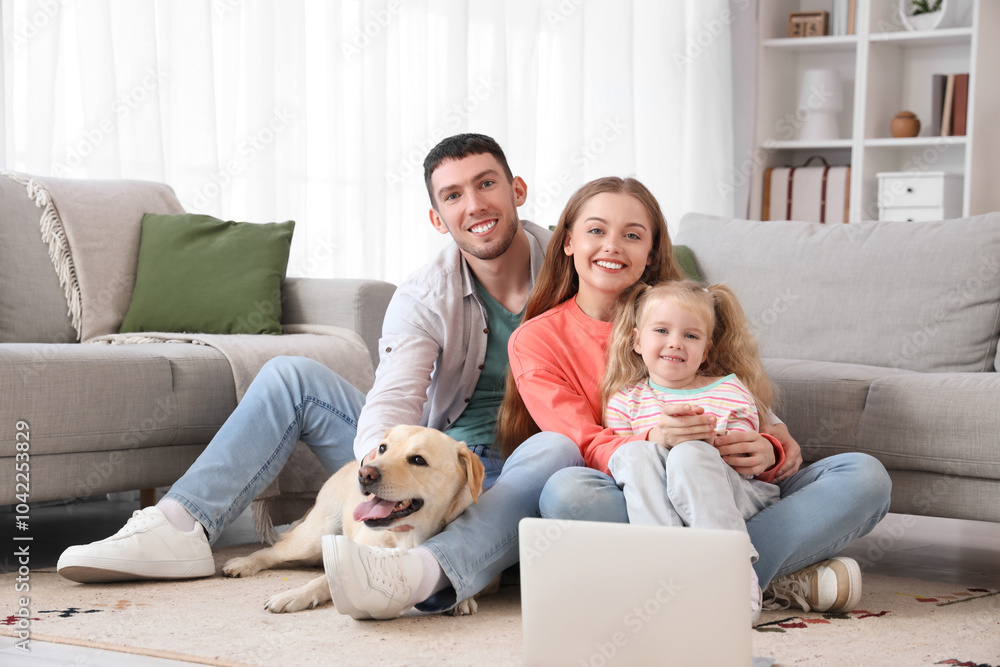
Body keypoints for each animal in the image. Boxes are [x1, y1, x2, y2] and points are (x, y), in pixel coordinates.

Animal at [222, 428, 484, 616]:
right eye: (382, 448)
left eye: (418, 460)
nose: (365, 473)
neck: (408, 536)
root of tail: (345, 467)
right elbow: (323, 580)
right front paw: (295, 595)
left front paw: (461, 599)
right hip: (312, 538)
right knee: (272, 552)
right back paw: (242, 563)